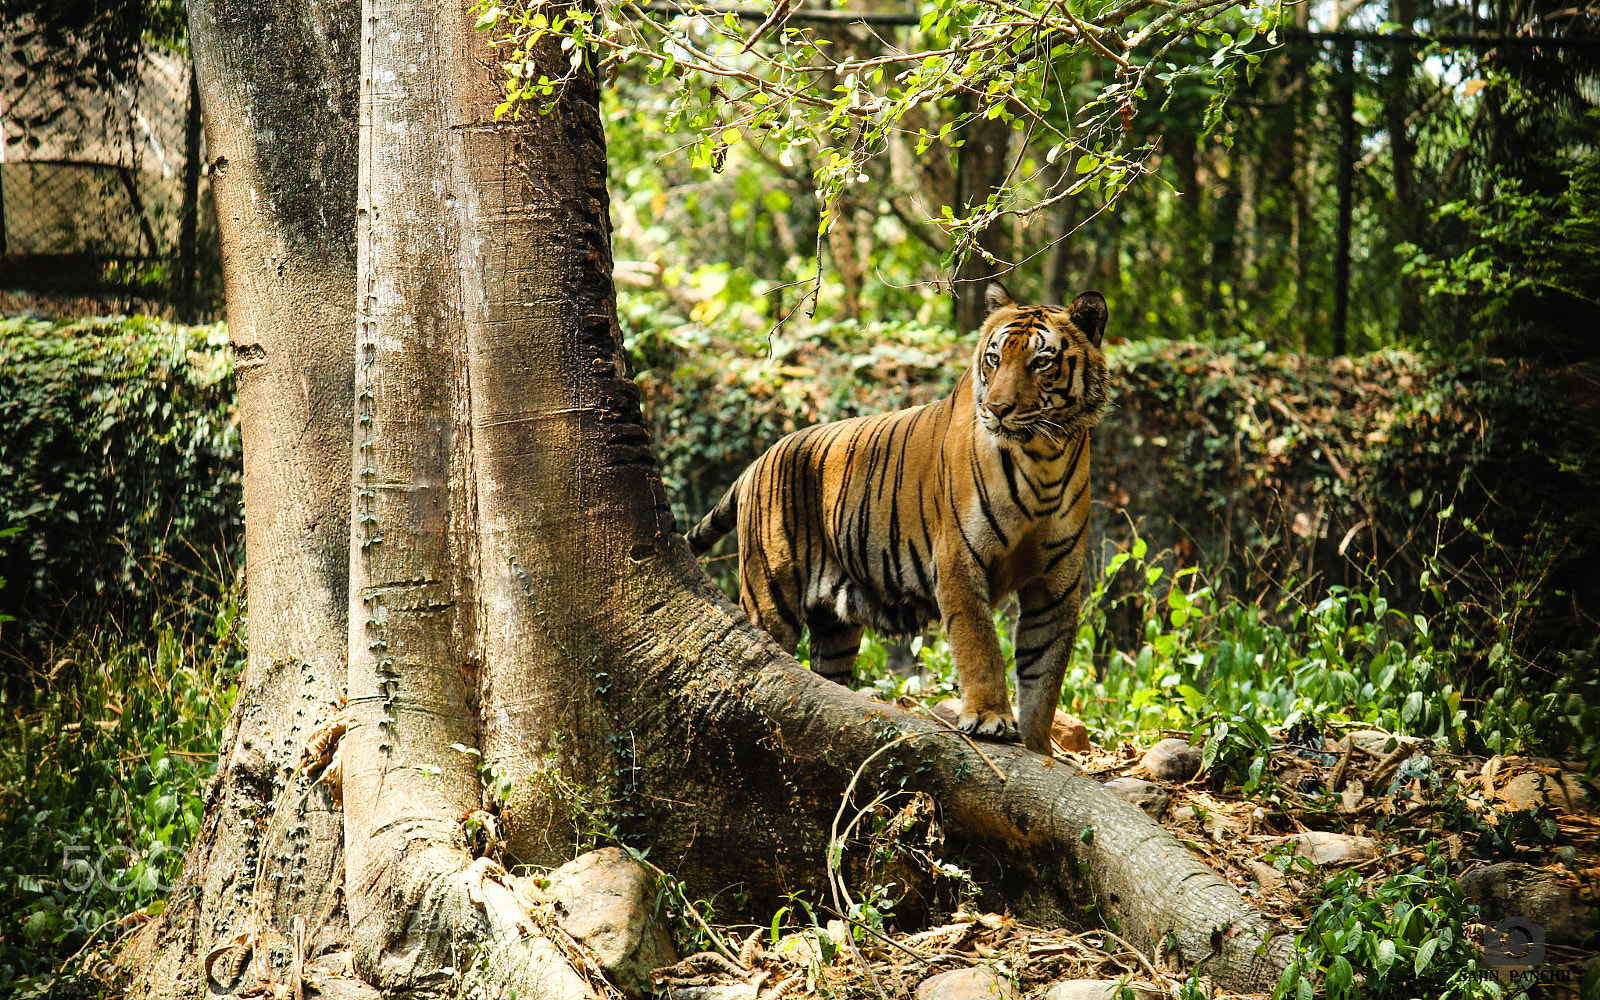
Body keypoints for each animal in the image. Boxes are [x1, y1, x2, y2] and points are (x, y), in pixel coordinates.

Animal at [686, 283, 1109, 755]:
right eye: (994, 359)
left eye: (1041, 362)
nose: (997, 408)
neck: (1042, 456)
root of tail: (758, 461)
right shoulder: (959, 560)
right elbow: (979, 643)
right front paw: (989, 719)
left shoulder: (1056, 582)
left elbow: (1043, 674)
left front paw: (1037, 749)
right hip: (770, 597)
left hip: (836, 630)